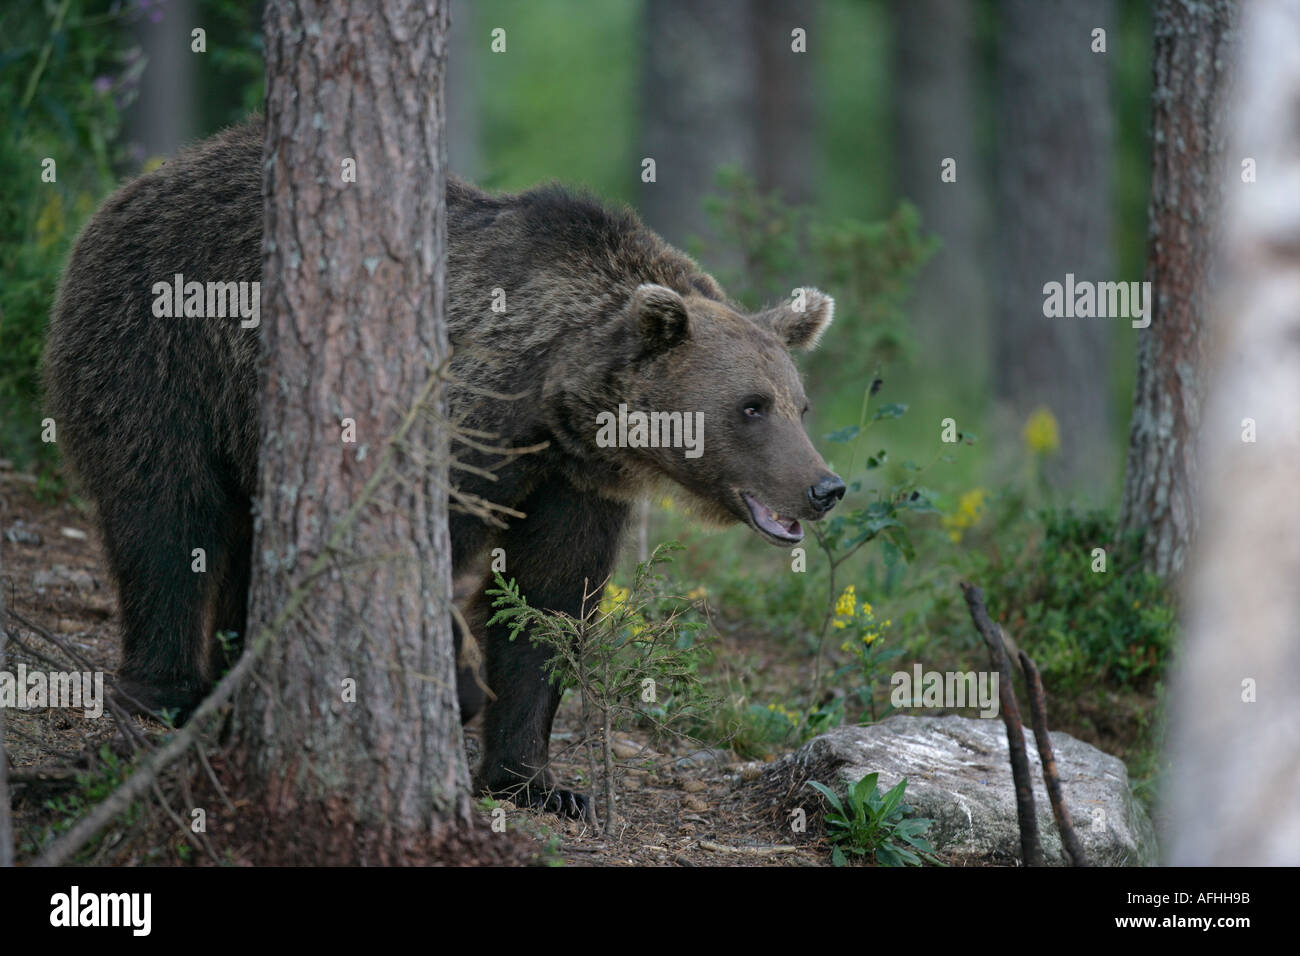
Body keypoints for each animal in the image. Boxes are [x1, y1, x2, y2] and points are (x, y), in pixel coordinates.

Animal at [43, 117, 842, 816]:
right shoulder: (456, 430)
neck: (554, 403)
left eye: (799, 405)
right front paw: (456, 685)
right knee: (166, 515)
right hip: (159, 351)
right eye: (750, 406)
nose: (825, 486)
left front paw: (535, 780)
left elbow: (547, 603)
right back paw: (165, 690)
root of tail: (147, 180)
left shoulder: (576, 482)